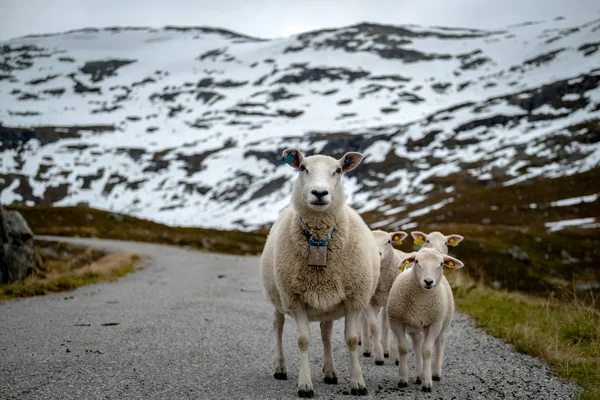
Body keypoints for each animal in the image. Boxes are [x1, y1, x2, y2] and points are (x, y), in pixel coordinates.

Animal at [258, 148, 380, 398]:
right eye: (303, 168)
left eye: (338, 170)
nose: (320, 193)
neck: (319, 239)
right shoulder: (295, 298)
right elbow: (303, 340)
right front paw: (305, 385)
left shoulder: (353, 299)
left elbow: (351, 340)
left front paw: (358, 382)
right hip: (278, 297)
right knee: (277, 326)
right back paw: (280, 367)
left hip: (329, 302)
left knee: (326, 333)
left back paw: (330, 372)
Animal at [360, 228, 408, 366]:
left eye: (389, 241)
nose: (378, 254)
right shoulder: (368, 302)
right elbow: (373, 327)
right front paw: (378, 355)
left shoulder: (389, 301)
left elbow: (387, 326)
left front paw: (393, 354)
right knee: (364, 321)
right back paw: (367, 348)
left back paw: (385, 349)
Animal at [386, 247, 466, 390]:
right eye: (417, 261)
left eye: (441, 264)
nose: (428, 281)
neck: (421, 301)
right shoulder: (396, 322)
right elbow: (403, 349)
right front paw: (403, 379)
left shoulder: (434, 324)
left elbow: (427, 351)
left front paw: (427, 382)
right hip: (414, 326)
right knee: (417, 343)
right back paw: (418, 374)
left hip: (442, 322)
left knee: (440, 342)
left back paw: (436, 373)